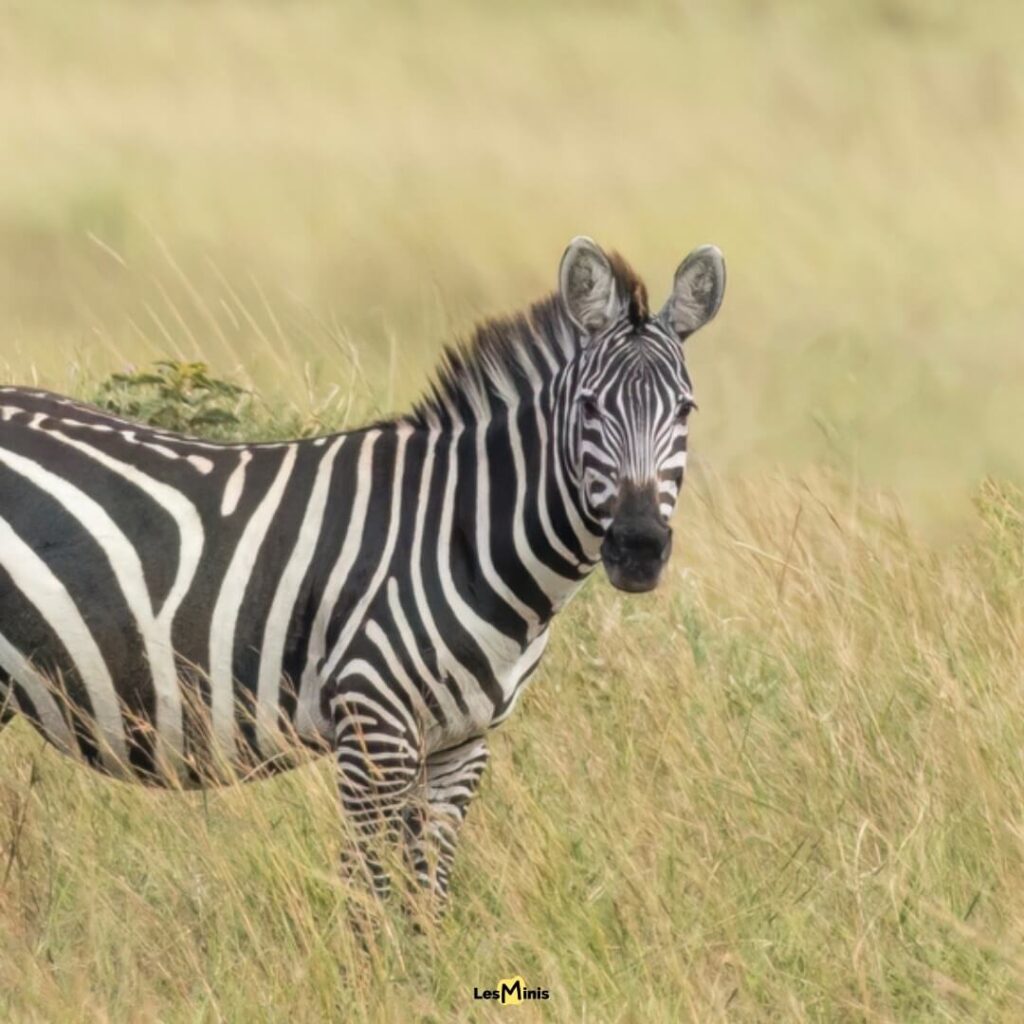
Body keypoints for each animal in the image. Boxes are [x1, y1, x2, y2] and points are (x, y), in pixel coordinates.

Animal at [0, 237, 725, 910]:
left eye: (686, 410)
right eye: (590, 408)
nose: (638, 547)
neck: (462, 535)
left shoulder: (460, 747)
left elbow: (426, 896)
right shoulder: (373, 728)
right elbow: (368, 898)